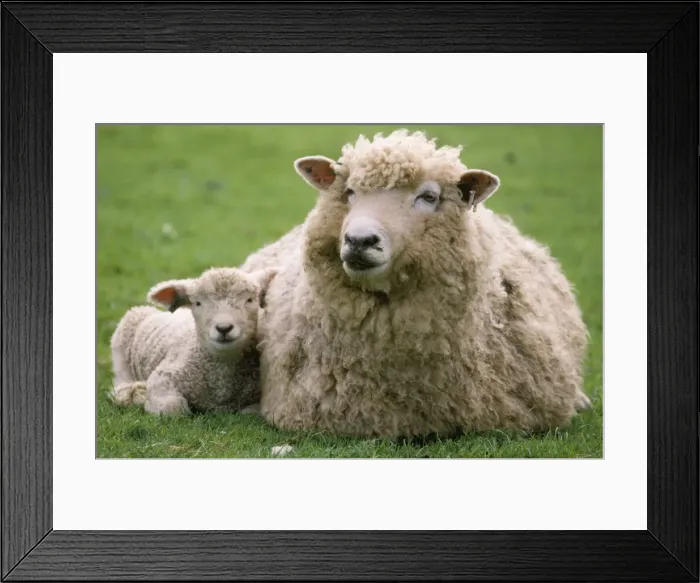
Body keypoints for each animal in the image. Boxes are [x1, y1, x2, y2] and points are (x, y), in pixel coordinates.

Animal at [109, 266, 277, 416]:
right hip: (121, 353)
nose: (224, 328)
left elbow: (251, 412)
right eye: (198, 303)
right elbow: (173, 408)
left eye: (250, 300)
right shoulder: (163, 376)